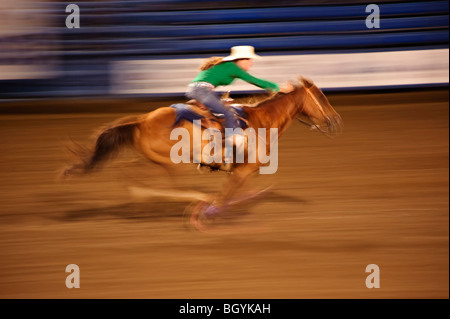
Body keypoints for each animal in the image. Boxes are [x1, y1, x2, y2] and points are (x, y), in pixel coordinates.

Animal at [61, 77, 342, 222]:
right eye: (321, 97)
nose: (336, 120)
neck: (261, 122)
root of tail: (143, 120)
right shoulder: (244, 171)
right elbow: (226, 195)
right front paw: (209, 212)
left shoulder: (242, 171)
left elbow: (236, 193)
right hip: (171, 162)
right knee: (154, 181)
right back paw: (184, 200)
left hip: (155, 161)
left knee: (128, 171)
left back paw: (143, 203)